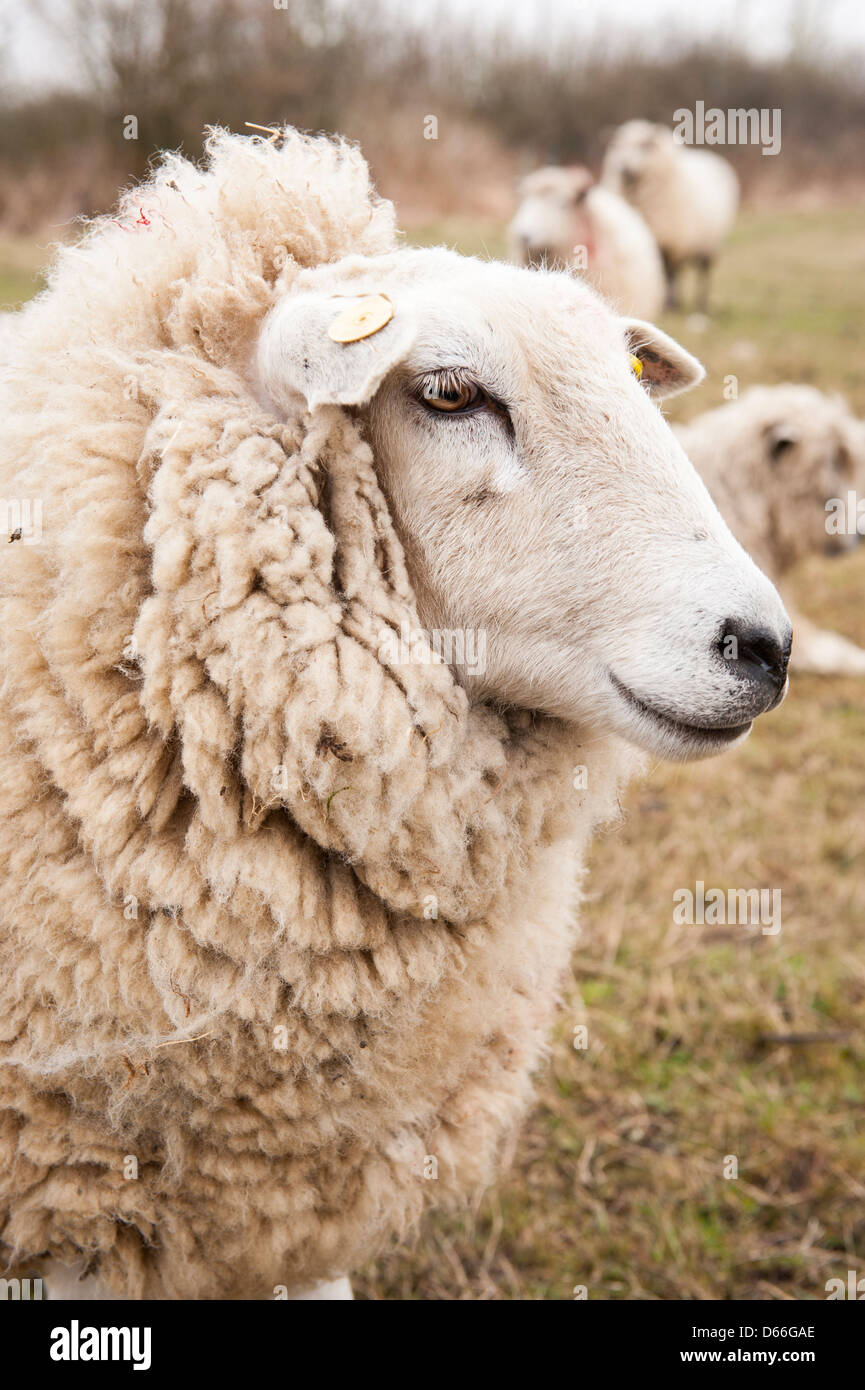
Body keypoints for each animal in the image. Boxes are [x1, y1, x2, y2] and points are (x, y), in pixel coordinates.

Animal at [602, 120, 739, 312]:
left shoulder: (670, 242)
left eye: (645, 146)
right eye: (617, 146)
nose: (624, 168)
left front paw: (669, 304)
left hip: (709, 244)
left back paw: (700, 303)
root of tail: (708, 156)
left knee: (702, 274)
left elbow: (669, 273)